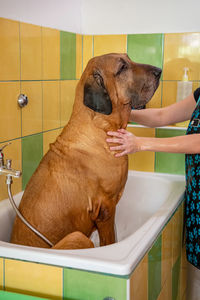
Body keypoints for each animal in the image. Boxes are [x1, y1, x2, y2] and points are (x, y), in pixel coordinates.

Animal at [10, 53, 161, 248]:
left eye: (129, 58)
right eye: (122, 68)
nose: (159, 71)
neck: (101, 127)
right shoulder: (106, 208)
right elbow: (109, 241)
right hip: (77, 237)